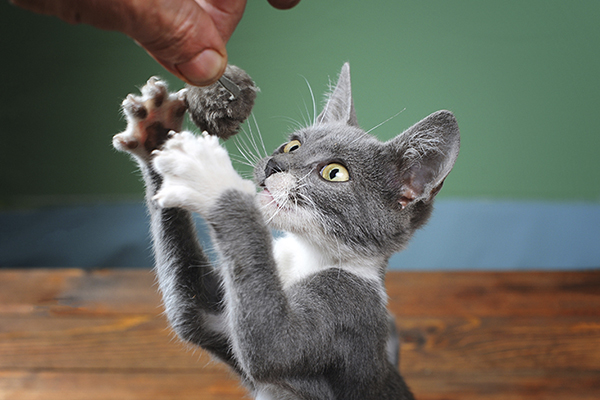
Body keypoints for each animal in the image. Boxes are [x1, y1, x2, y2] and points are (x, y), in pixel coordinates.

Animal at [112, 64, 460, 398]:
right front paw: (156, 131)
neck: (306, 254)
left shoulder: (347, 307)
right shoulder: (213, 319)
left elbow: (272, 345)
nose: (273, 165)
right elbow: (192, 313)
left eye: (334, 173)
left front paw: (210, 172)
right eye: (293, 145)